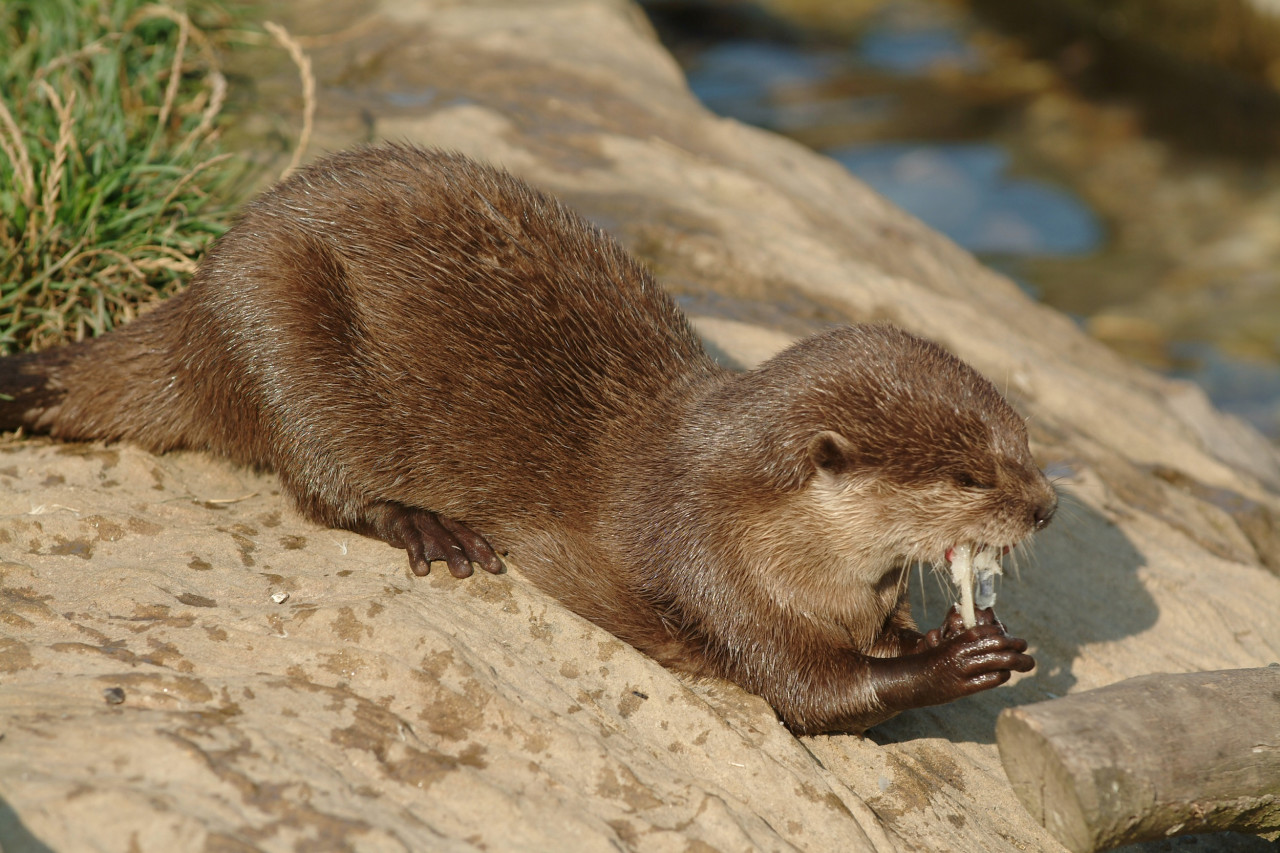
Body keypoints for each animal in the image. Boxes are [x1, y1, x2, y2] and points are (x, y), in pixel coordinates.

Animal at [2, 142, 1059, 732]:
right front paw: (953, 661)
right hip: (277, 324)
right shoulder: (707, 568)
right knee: (317, 482)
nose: (1046, 507)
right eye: (971, 476)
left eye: (1025, 444)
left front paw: (940, 628)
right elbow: (811, 693)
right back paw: (428, 526)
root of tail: (196, 296)